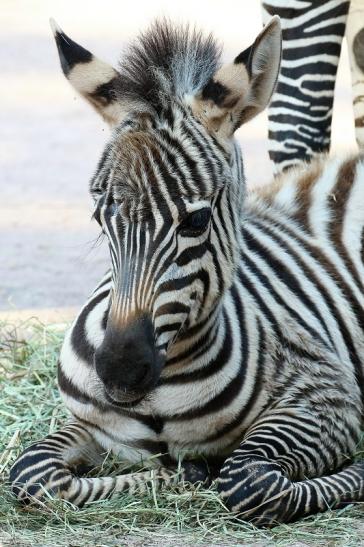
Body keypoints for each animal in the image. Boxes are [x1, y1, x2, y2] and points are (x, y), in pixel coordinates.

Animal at [8, 16, 364, 528]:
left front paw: (190, 473)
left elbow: (250, 481)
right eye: (99, 217)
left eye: (195, 221)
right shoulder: (91, 425)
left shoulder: (327, 394)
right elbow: (33, 471)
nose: (119, 374)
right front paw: (168, 477)